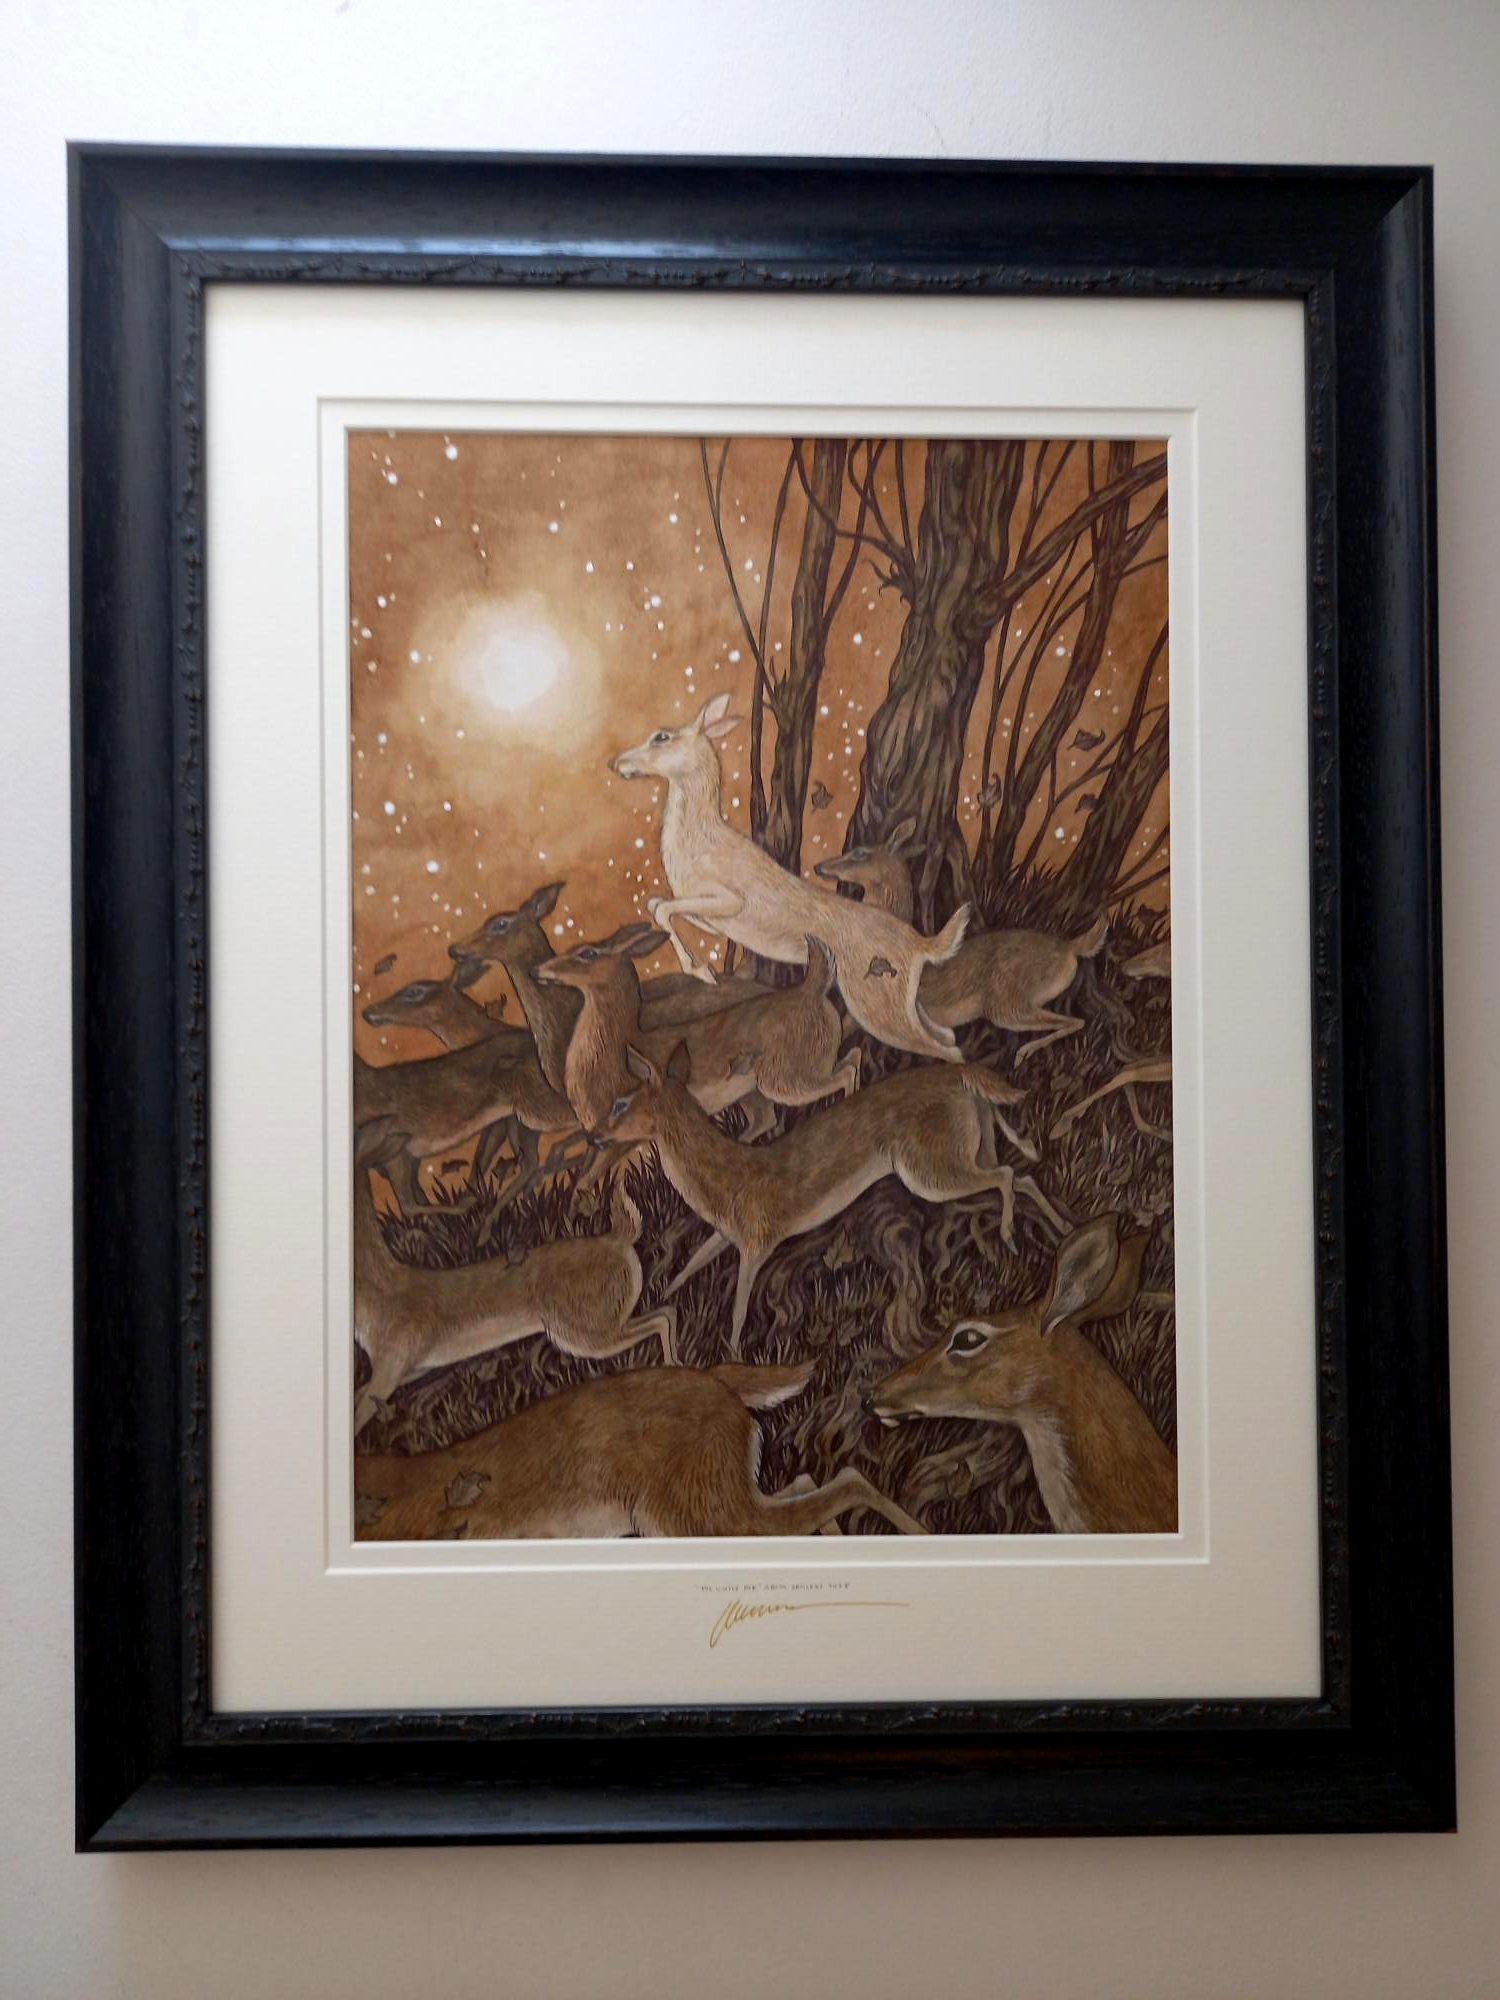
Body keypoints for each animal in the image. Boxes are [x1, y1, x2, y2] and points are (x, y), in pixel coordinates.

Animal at [351, 1117, 674, 1435]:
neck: (382, 1292)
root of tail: (620, 1238)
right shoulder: (409, 1369)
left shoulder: (390, 1370)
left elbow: (357, 1417)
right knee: (666, 1312)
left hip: (586, 1334)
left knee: (660, 1318)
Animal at [600, 1042, 1067, 1355]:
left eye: (620, 1103)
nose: (597, 1135)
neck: (726, 1179)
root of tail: (965, 1078)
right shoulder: (729, 1234)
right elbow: (692, 1262)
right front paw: (661, 1292)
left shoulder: (757, 1241)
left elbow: (738, 1309)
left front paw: (732, 1354)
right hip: (976, 1144)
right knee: (1022, 1175)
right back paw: (1059, 1228)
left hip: (929, 1170)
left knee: (1007, 1175)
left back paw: (1010, 1236)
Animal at [609, 695, 971, 1063]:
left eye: (662, 737)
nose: (617, 763)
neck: (700, 840)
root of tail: (921, 945)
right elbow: (660, 905)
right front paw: (703, 964)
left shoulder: (730, 899)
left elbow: (663, 908)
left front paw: (701, 972)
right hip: (905, 1001)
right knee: (947, 1035)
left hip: (874, 999)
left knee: (943, 1047)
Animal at [815, 825, 1109, 1064]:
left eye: (860, 852)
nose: (819, 867)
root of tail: (1072, 948)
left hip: (1006, 1005)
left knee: (1075, 1020)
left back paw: (1023, 1053)